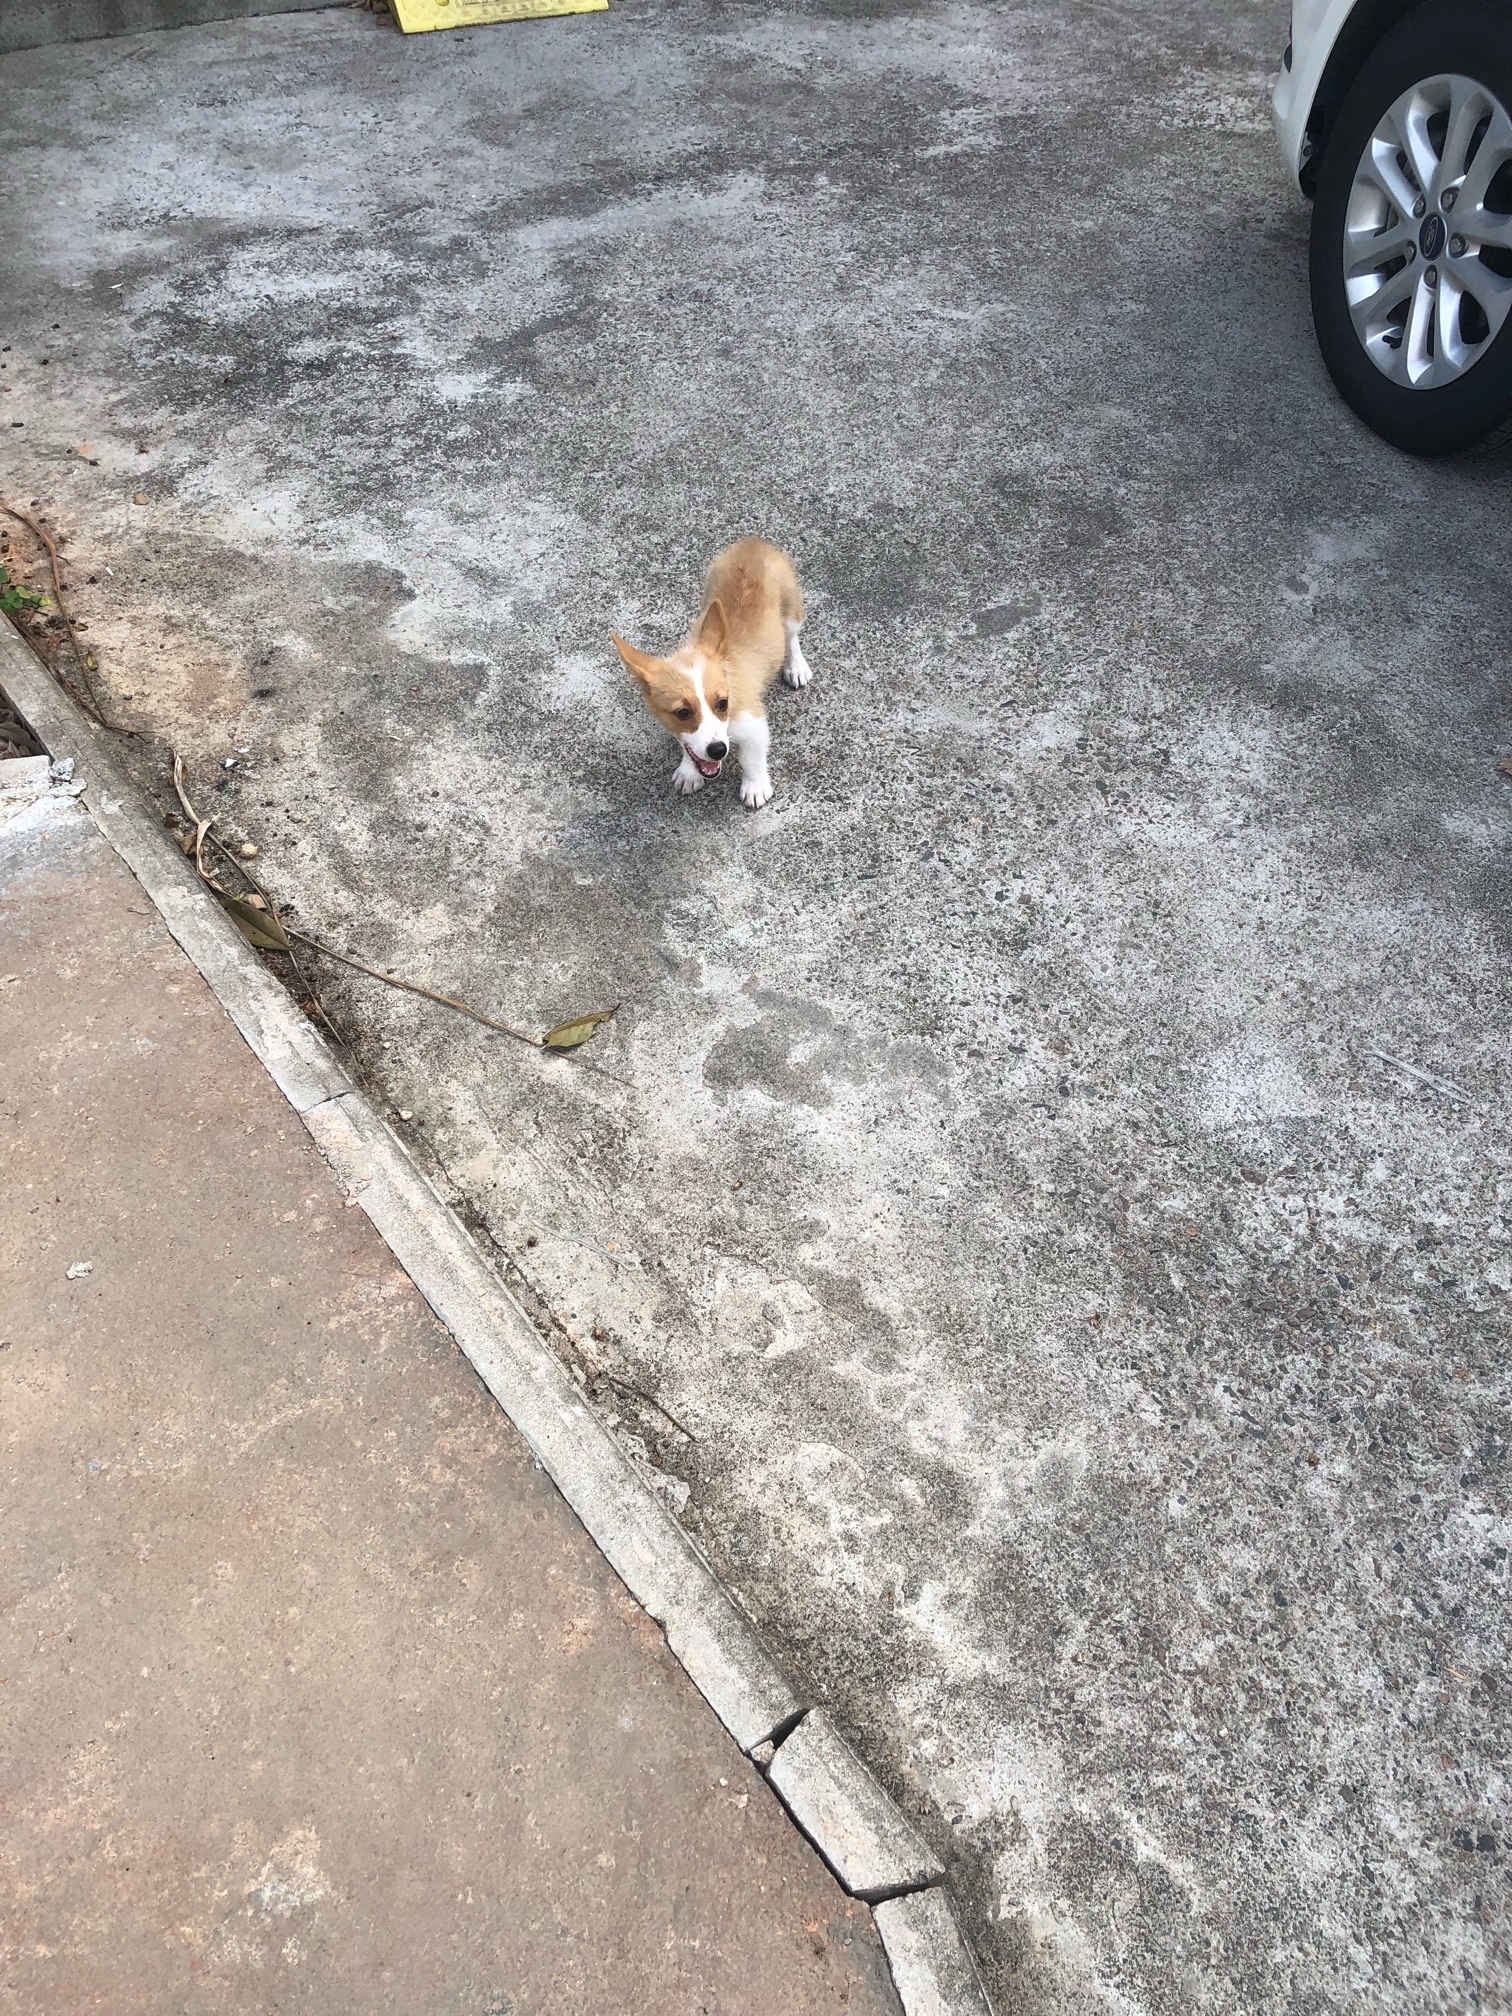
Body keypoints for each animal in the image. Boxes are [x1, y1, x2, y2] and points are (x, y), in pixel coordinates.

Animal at [612, 538, 811, 809]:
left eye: (723, 703)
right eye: (682, 713)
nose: (718, 750)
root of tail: (753, 540)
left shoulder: (754, 724)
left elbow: (752, 759)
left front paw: (755, 786)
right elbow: (689, 746)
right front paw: (689, 771)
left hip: (791, 608)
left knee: (791, 637)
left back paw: (796, 666)